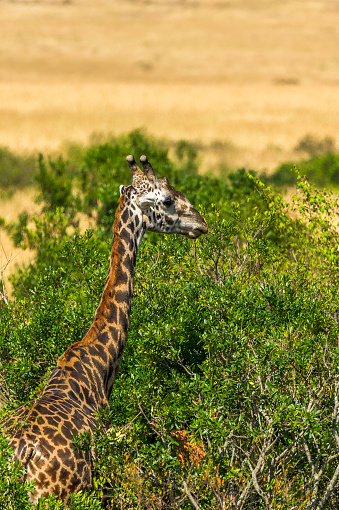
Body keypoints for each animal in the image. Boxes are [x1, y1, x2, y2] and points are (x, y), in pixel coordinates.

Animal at [1, 154, 209, 502]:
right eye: (168, 199)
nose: (201, 223)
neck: (100, 365)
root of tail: (19, 457)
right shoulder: (105, 480)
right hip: (60, 495)